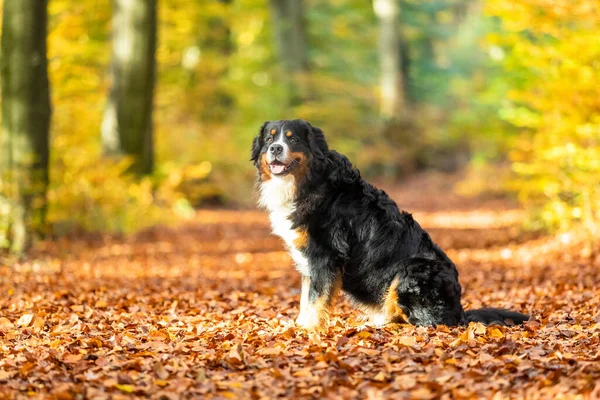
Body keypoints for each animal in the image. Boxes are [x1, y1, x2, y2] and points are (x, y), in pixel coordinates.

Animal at [251, 119, 528, 332]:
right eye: (269, 138)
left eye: (293, 139)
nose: (275, 148)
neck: (309, 181)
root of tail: (459, 311)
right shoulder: (309, 260)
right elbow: (306, 298)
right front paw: (300, 325)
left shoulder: (324, 256)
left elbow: (315, 300)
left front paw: (308, 330)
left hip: (410, 270)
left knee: (421, 322)